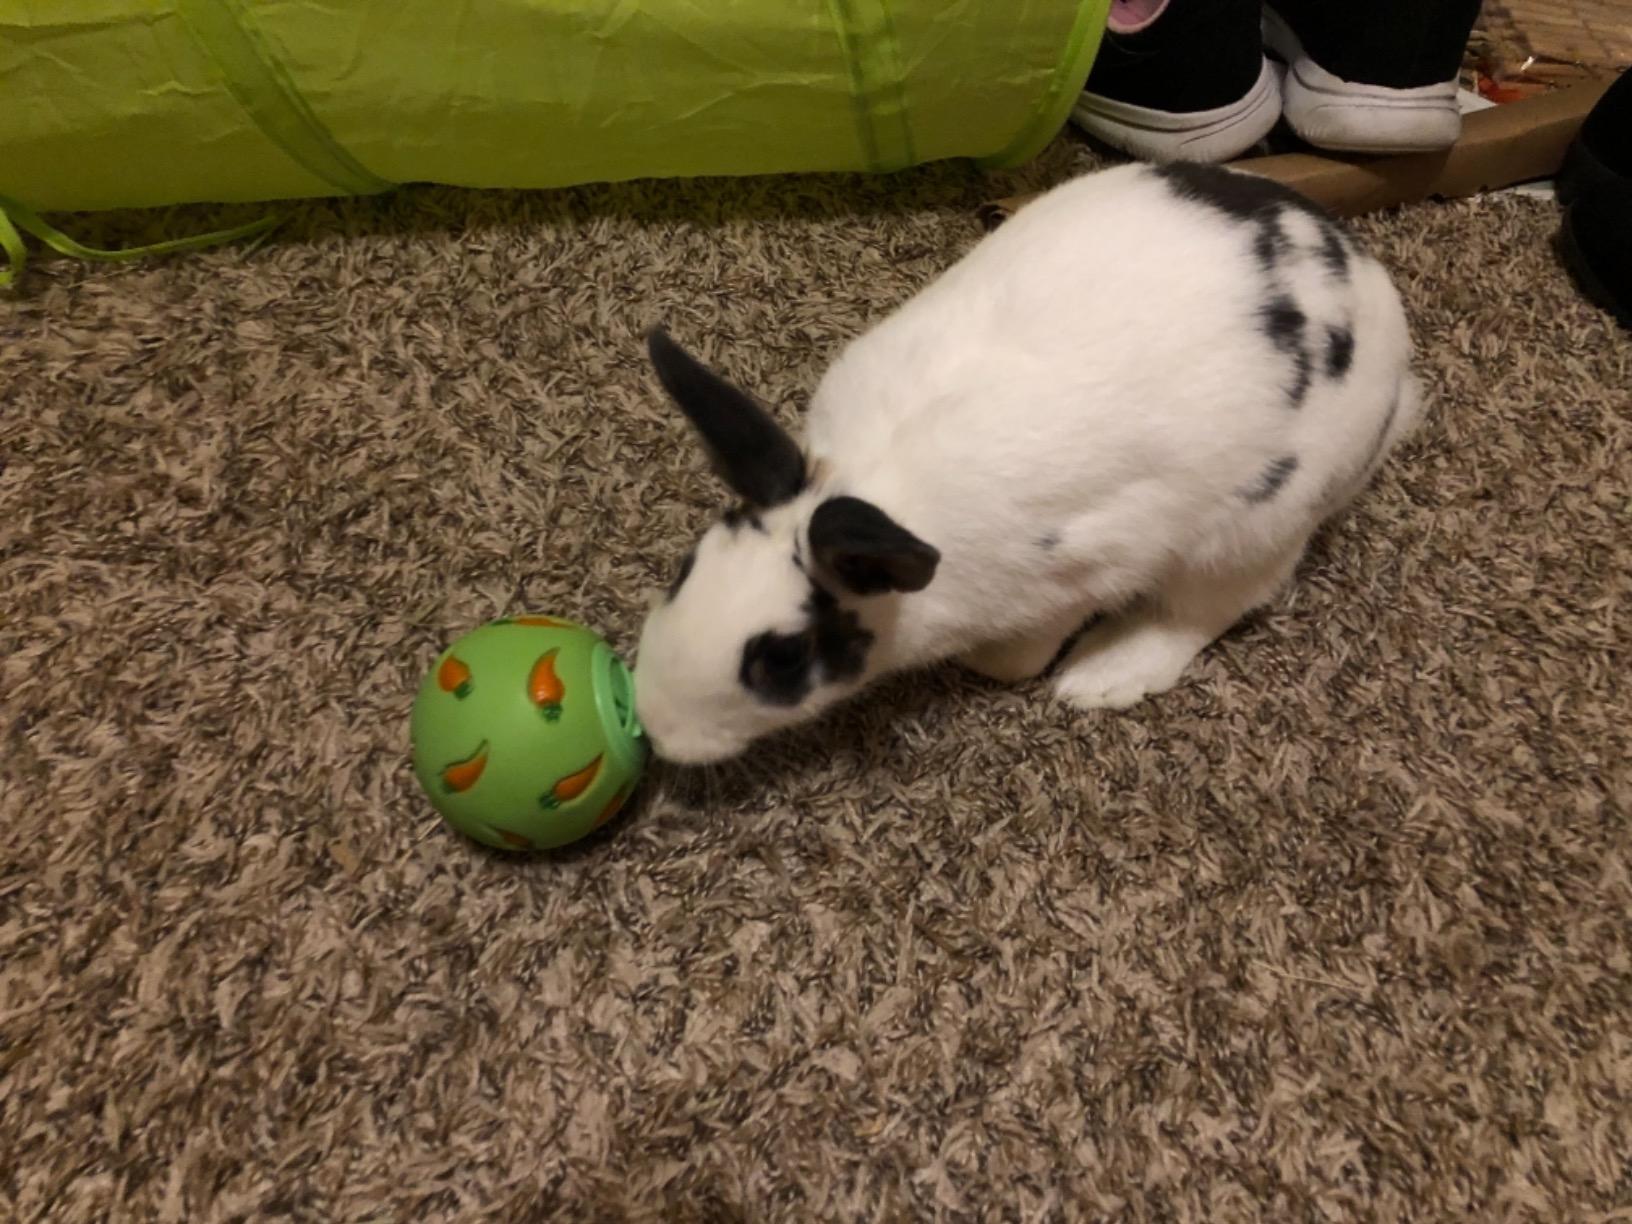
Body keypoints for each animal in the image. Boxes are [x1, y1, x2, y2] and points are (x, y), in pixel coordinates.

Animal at [633, 160, 1422, 764]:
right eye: (687, 569)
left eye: (784, 659)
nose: (658, 729)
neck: (882, 492)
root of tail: (1372, 290)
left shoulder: (1075, 578)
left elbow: (1019, 658)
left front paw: (988, 668)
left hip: (1251, 530)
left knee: (1206, 610)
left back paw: (1099, 676)